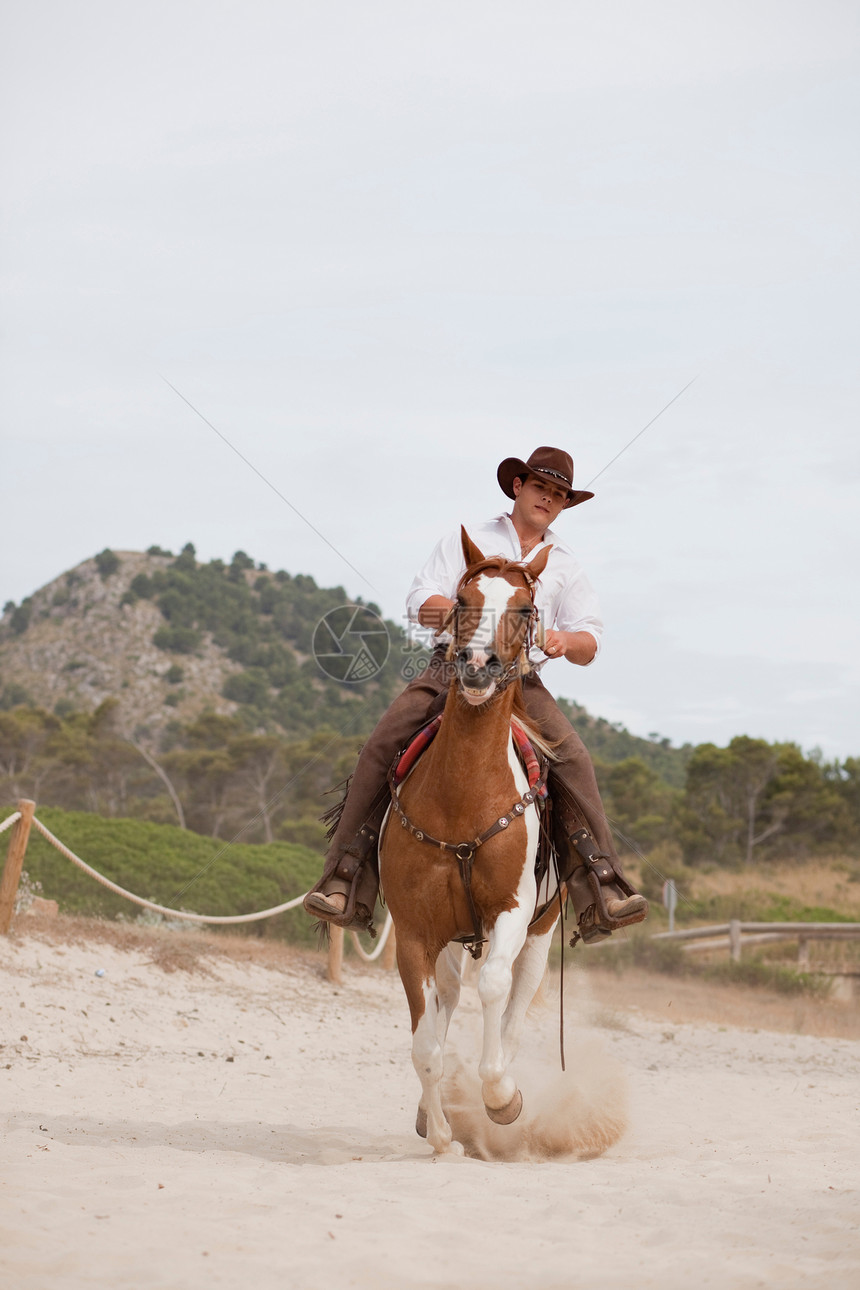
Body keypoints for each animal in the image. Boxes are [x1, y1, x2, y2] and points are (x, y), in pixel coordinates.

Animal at [379, 528, 562, 1155]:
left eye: (527, 608)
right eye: (462, 600)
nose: (479, 664)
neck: (462, 797)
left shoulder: (511, 911)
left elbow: (496, 992)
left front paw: (500, 1096)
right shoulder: (414, 933)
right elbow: (425, 1047)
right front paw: (439, 1135)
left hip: (540, 935)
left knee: (512, 1006)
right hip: (452, 943)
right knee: (451, 1001)